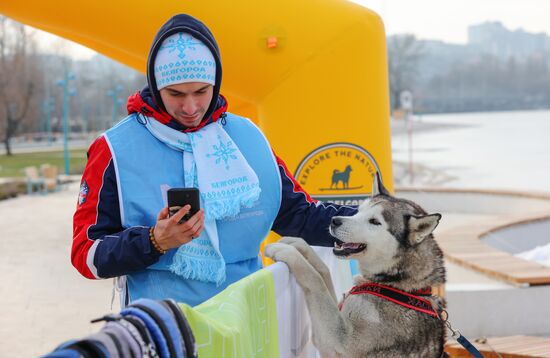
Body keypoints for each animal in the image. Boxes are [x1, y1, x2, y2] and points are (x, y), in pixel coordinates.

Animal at [266, 173, 448, 356]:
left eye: (374, 221)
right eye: (359, 211)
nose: (334, 220)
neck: (396, 284)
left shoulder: (339, 342)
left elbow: (315, 280)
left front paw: (287, 252)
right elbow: (322, 271)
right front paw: (297, 244)